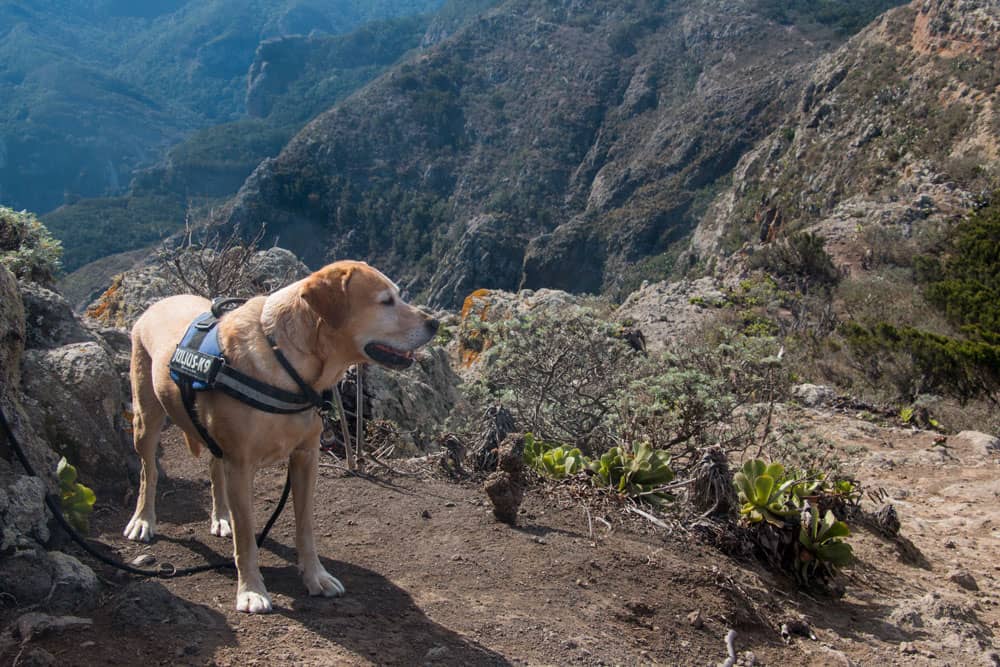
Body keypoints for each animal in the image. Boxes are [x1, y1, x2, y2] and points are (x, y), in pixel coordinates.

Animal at [125, 258, 438, 612]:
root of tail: (158, 303)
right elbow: (247, 537)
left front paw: (315, 576)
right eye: (386, 301)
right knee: (148, 473)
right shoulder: (241, 465)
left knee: (213, 467)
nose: (434, 323)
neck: (286, 360)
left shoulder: (305, 457)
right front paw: (251, 590)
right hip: (146, 418)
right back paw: (143, 520)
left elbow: (305, 527)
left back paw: (221, 517)